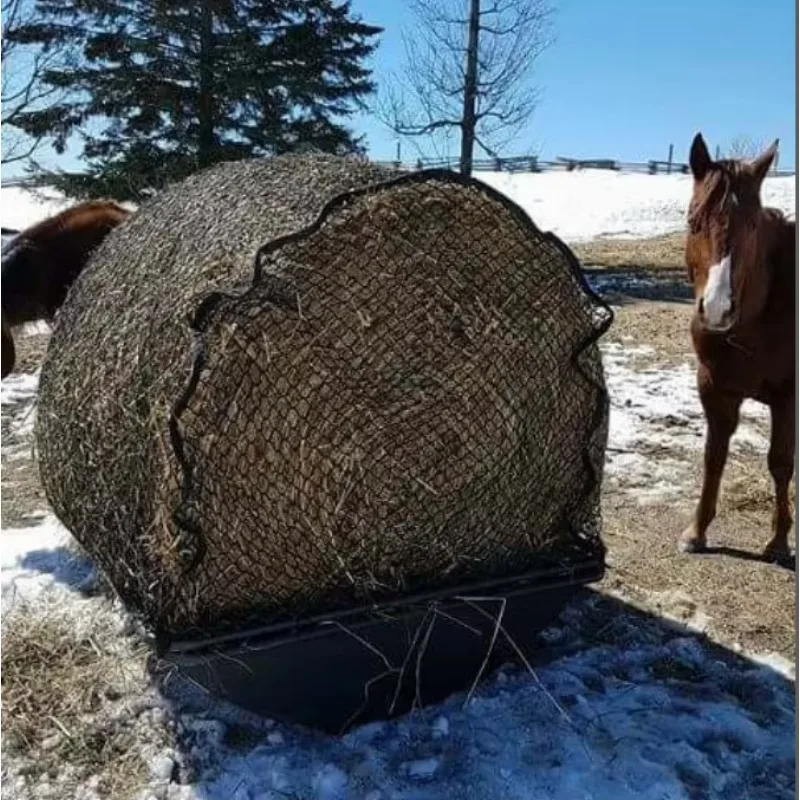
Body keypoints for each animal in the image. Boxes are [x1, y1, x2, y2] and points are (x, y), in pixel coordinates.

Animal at [678, 132, 796, 562]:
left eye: (753, 226)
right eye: (693, 221)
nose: (716, 308)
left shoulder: (787, 397)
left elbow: (780, 463)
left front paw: (778, 542)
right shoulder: (714, 388)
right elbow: (714, 457)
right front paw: (696, 531)